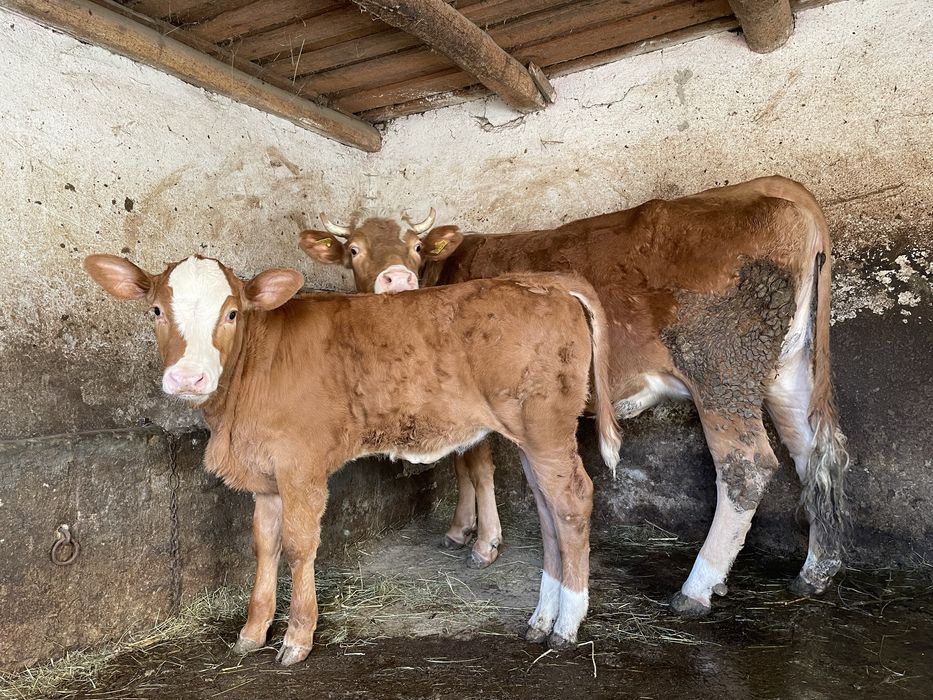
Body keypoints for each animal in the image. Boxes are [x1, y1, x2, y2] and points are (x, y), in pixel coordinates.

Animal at [83, 253, 621, 665]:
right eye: (155, 310)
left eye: (232, 313)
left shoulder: (300, 466)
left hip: (546, 425)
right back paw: (541, 618)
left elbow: (299, 546)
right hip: (533, 436)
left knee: (573, 501)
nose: (188, 377)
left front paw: (297, 638)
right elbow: (264, 545)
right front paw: (252, 632)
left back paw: (567, 623)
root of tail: (543, 280)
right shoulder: (266, 475)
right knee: (548, 511)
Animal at [299, 175, 850, 616]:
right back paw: (815, 572)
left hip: (720, 370)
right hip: (786, 372)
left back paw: (696, 588)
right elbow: (463, 465)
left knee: (747, 467)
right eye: (354, 249)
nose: (398, 278)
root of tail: (764, 188)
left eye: (416, 247)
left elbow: (475, 464)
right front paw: (461, 529)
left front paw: (482, 542)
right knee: (813, 455)